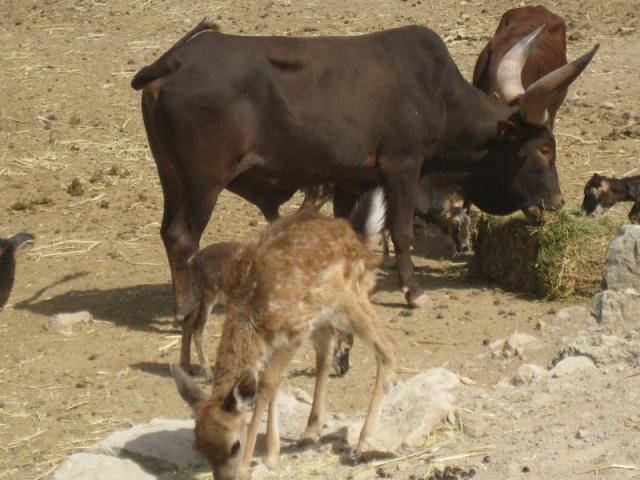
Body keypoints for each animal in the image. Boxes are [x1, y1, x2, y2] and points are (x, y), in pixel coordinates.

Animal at [132, 18, 596, 312]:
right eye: (544, 150)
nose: (557, 201)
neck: (437, 94)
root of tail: (174, 61)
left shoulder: (348, 180)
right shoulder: (402, 166)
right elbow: (403, 231)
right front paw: (414, 293)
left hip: (171, 179)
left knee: (168, 233)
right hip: (202, 182)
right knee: (182, 239)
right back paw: (184, 309)